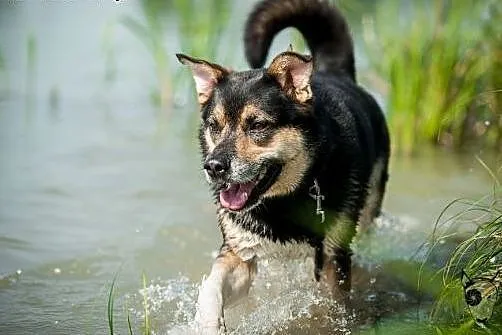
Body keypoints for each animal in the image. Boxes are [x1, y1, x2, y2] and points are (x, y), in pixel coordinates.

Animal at [177, 0, 392, 334]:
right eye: (214, 126)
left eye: (257, 125)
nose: (213, 167)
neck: (283, 202)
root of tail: (334, 72)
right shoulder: (240, 252)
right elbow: (211, 288)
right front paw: (207, 323)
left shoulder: (333, 254)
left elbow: (331, 304)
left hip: (368, 211)